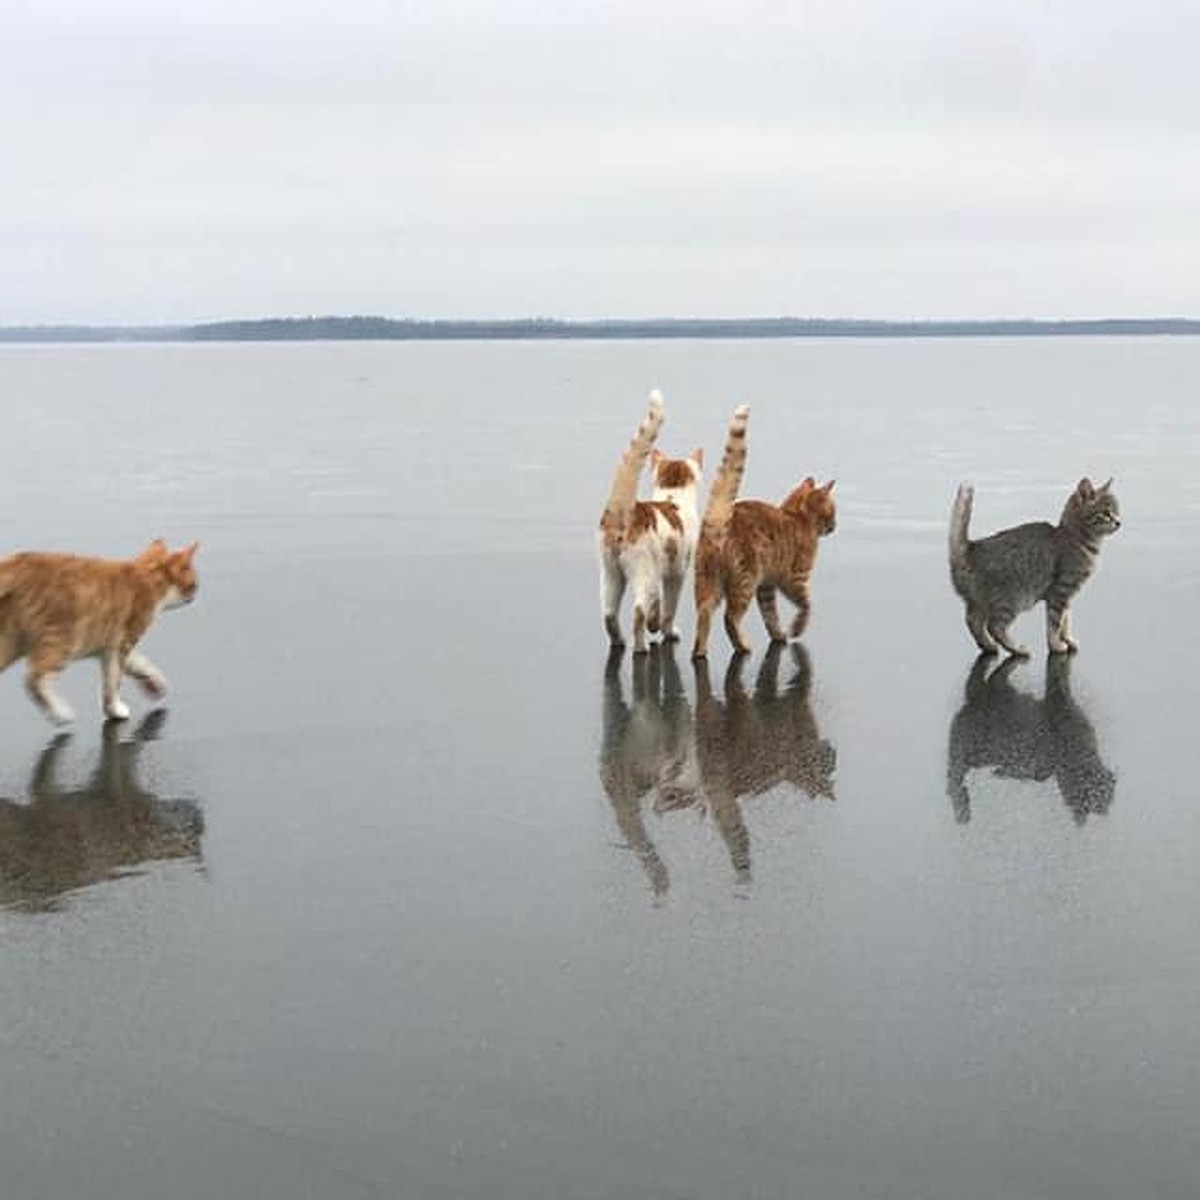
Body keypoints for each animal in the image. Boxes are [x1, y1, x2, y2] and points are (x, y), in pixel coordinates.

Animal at [0, 542, 199, 724]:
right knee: (33, 679)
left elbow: (137, 665)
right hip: (63, 640)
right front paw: (115, 709)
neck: (145, 577)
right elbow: (114, 682)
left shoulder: (110, 646)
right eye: (194, 584)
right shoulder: (124, 642)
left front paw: (153, 686)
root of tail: (16, 561)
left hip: (10, 641)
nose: (195, 596)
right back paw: (60, 713)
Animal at [595, 391, 700, 657]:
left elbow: (658, 605)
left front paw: (656, 624)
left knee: (609, 615)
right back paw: (640, 647)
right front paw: (666, 631)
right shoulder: (676, 572)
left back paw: (620, 641)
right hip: (645, 573)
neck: (673, 496)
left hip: (611, 574)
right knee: (637, 612)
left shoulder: (664, 568)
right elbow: (669, 608)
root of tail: (625, 511)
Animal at [691, 408, 840, 662]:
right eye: (832, 512)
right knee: (730, 618)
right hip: (745, 582)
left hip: (708, 582)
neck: (795, 515)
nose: (835, 525)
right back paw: (742, 646)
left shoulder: (767, 587)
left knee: (704, 615)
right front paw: (796, 629)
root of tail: (721, 518)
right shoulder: (794, 578)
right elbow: (806, 606)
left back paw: (699, 651)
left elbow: (771, 617)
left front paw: (778, 635)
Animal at [950, 477, 1118, 657]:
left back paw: (989, 646)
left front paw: (1068, 640)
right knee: (995, 627)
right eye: (1106, 513)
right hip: (1011, 600)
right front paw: (1056, 645)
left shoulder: (1067, 596)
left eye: (1117, 510)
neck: (1077, 538)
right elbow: (1055, 624)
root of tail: (970, 548)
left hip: (979, 603)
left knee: (973, 622)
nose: (1119, 522)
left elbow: (1066, 621)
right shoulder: (1060, 591)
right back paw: (1016, 648)